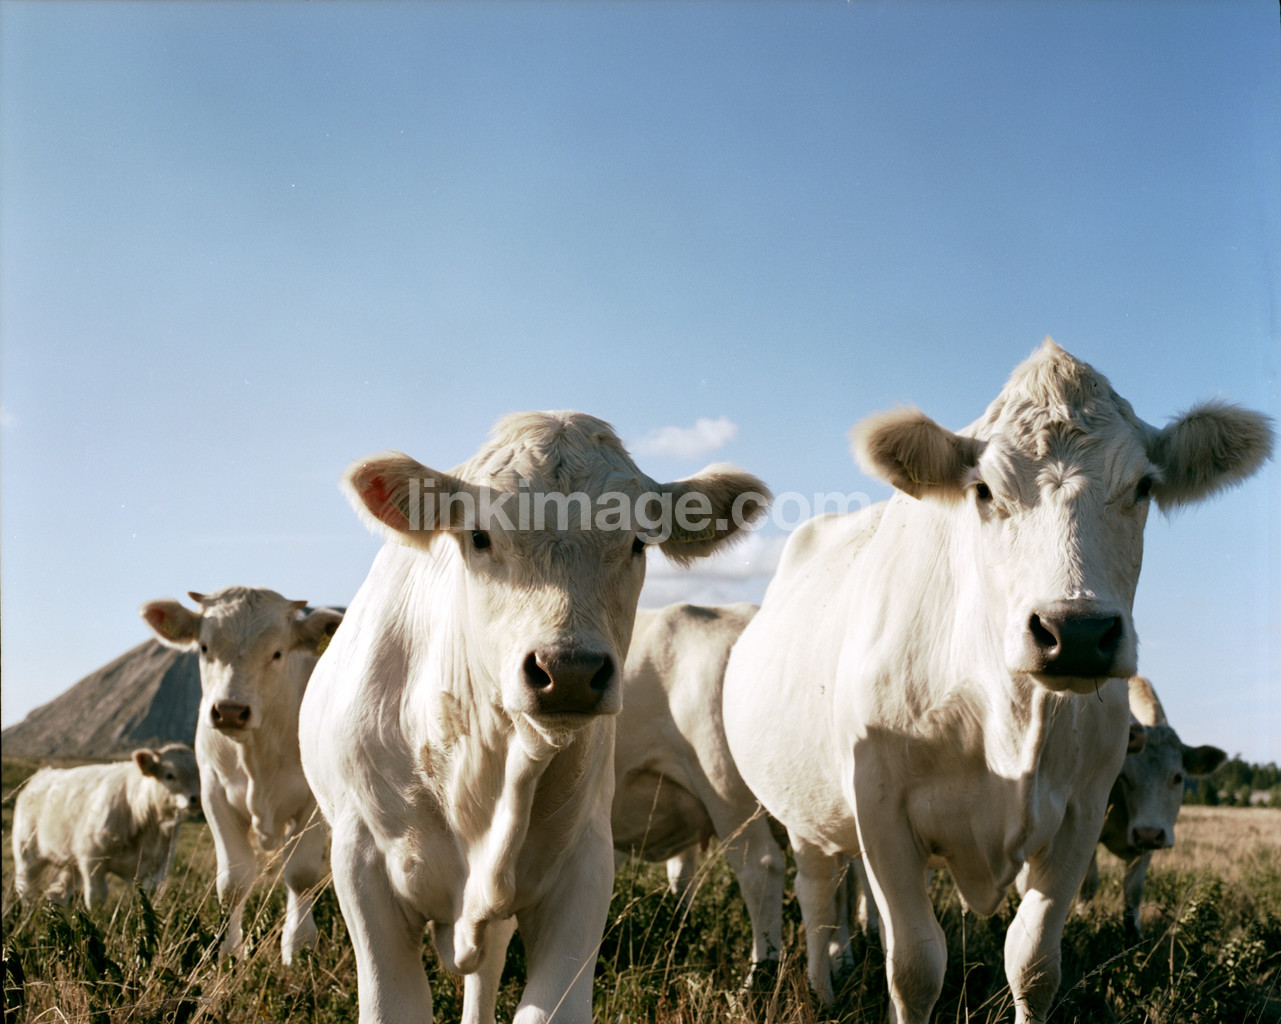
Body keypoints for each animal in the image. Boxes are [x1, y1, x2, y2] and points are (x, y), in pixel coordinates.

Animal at [12, 743, 201, 909]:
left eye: (201, 775)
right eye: (169, 775)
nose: (196, 798)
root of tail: (40, 776)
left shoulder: (157, 867)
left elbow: (145, 900)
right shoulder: (92, 860)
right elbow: (97, 899)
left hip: (69, 863)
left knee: (57, 893)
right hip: (27, 855)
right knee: (27, 891)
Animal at [140, 587, 343, 964]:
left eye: (277, 653)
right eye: (204, 647)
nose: (231, 710)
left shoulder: (312, 803)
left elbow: (301, 873)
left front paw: (299, 947)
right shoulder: (213, 794)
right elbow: (233, 881)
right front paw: (227, 951)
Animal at [1081, 675, 1226, 937]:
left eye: (1178, 777)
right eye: (1125, 777)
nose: (1148, 833)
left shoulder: (1146, 846)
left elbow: (1134, 891)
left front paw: (1133, 936)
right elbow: (1087, 885)